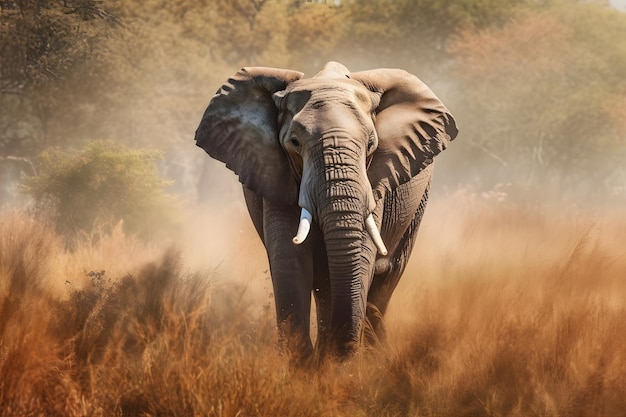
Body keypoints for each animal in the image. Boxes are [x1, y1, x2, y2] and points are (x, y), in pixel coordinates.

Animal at [193, 60, 456, 360]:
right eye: (295, 143)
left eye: (371, 145)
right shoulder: (274, 172)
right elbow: (289, 257)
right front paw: (306, 364)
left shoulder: (375, 178)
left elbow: (362, 254)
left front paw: (339, 364)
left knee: (386, 279)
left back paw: (373, 356)